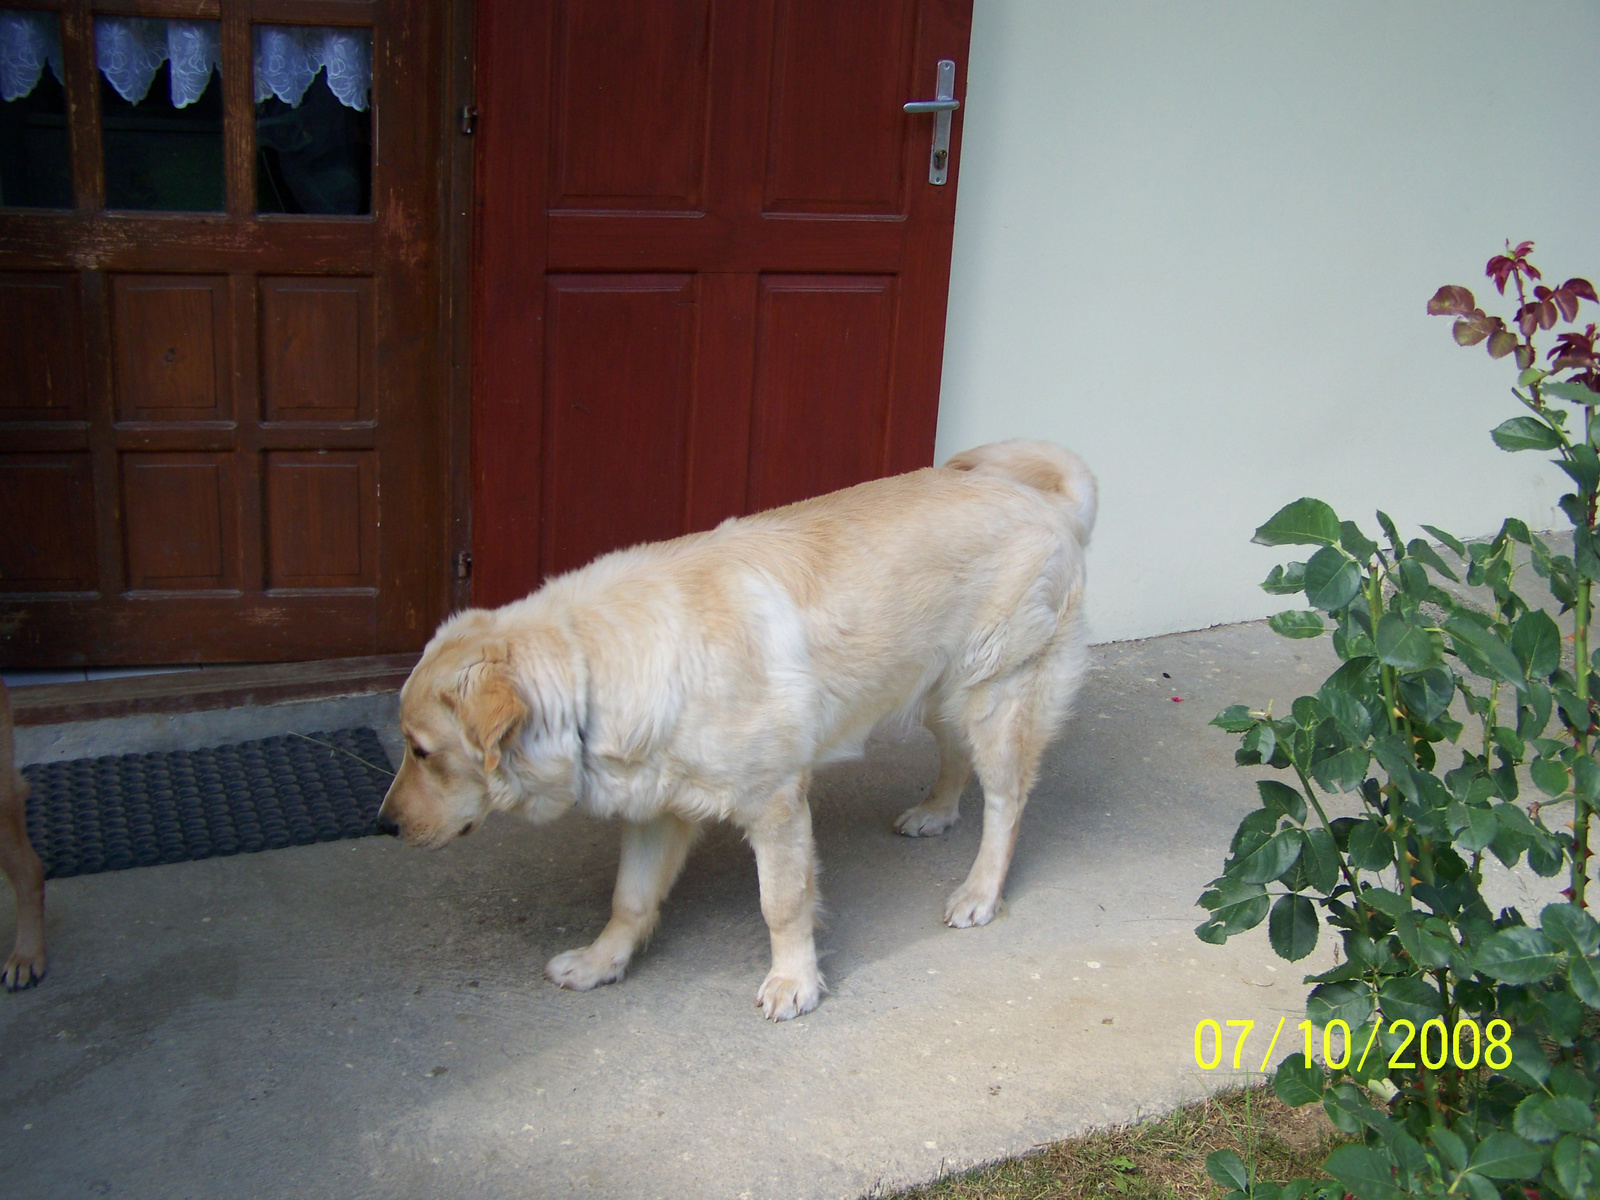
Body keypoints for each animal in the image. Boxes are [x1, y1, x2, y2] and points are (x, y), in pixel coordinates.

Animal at [380, 441, 1094, 1024]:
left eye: (422, 751)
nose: (385, 824)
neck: (590, 667)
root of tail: (1043, 495)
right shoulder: (653, 808)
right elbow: (629, 898)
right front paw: (601, 962)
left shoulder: (775, 806)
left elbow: (782, 901)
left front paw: (793, 980)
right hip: (941, 692)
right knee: (956, 760)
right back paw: (936, 812)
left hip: (996, 695)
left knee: (1006, 801)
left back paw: (979, 891)